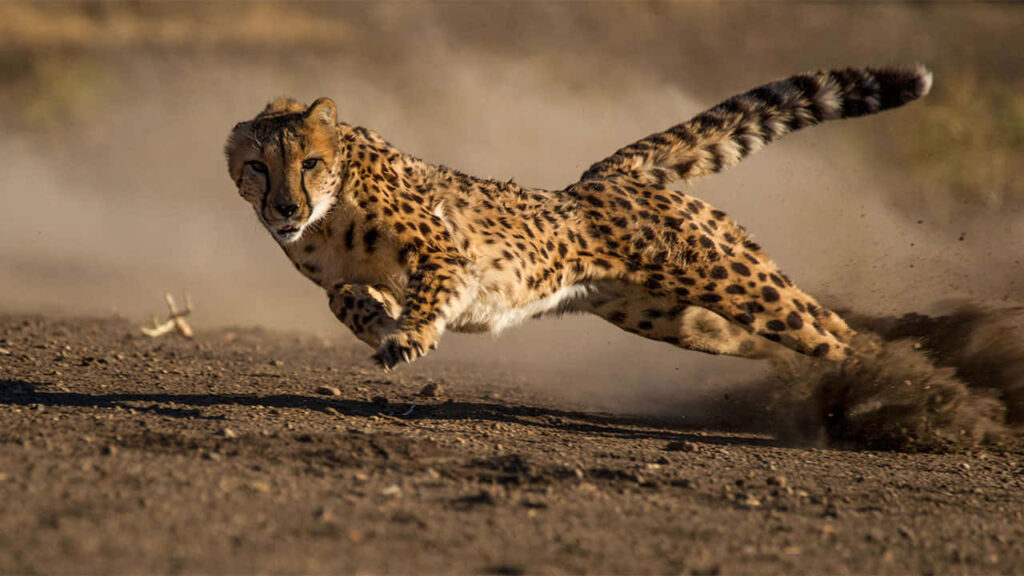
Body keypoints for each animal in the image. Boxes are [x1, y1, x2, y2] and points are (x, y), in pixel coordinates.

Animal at [225, 66, 932, 371]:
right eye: (257, 166)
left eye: (309, 162)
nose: (285, 207)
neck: (329, 214)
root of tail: (606, 175)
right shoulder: (344, 272)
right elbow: (342, 297)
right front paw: (377, 322)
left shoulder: (447, 256)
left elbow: (425, 293)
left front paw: (407, 336)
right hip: (673, 317)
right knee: (797, 334)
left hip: (727, 277)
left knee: (829, 331)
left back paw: (901, 384)